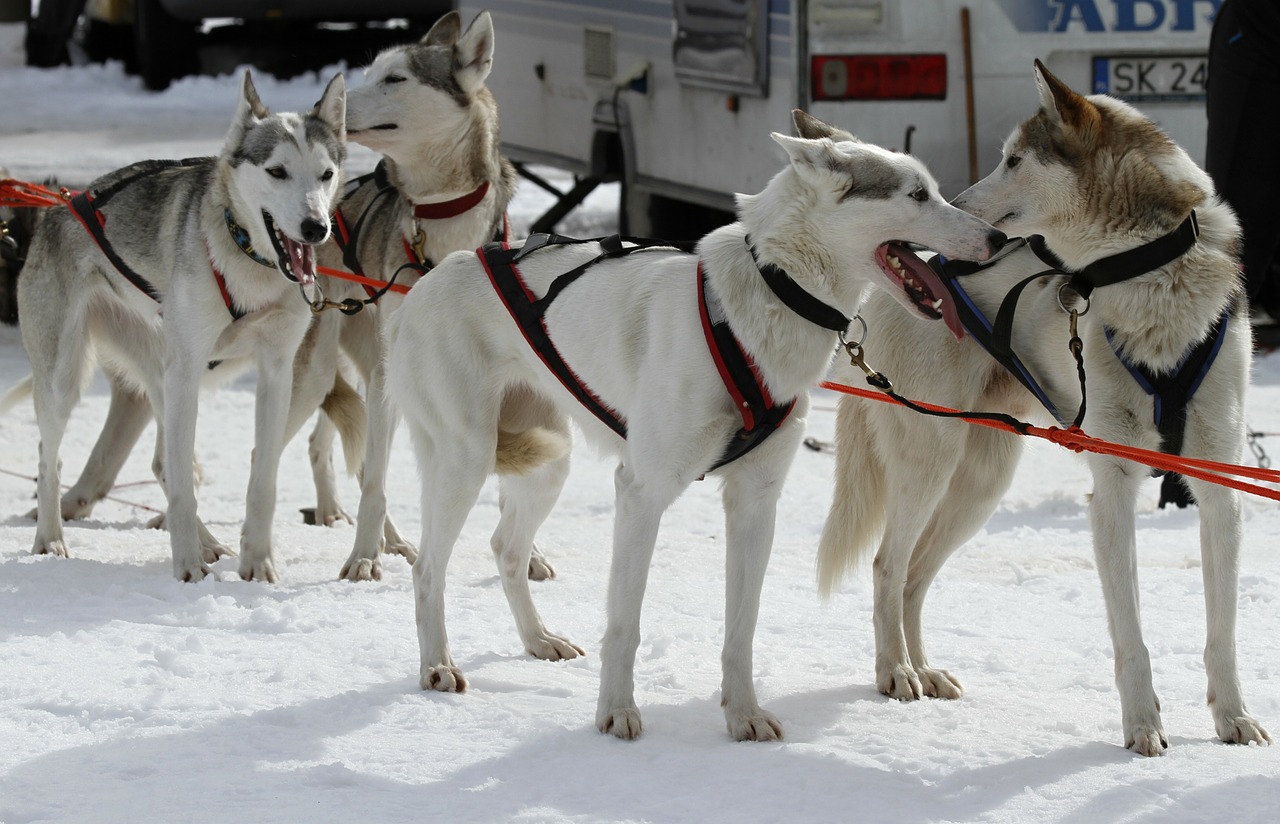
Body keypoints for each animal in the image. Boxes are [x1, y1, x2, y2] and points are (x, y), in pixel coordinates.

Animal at [21, 70, 350, 583]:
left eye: (326, 174)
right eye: (277, 172)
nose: (316, 227)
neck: (245, 256)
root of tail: (59, 204)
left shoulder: (277, 371)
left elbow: (263, 478)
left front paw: (257, 563)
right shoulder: (189, 368)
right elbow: (181, 489)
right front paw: (187, 568)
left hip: (162, 375)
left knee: (164, 463)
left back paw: (210, 542)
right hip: (69, 381)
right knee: (50, 458)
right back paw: (51, 539)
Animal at [384, 111, 1003, 742]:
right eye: (917, 194)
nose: (998, 240)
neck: (769, 290)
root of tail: (426, 283)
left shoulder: (755, 502)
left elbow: (741, 628)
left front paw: (743, 713)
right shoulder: (641, 493)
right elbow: (625, 623)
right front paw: (616, 711)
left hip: (547, 462)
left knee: (507, 550)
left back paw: (537, 639)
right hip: (466, 459)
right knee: (429, 569)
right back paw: (437, 664)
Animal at [819, 61, 1269, 757]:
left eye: (1013, 159)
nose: (958, 210)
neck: (1148, 276)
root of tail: (900, 281)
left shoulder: (1219, 481)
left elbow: (1222, 632)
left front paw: (1233, 717)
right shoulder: (1114, 480)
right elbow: (1131, 636)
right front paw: (1143, 725)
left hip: (980, 483)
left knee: (915, 577)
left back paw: (924, 669)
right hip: (931, 465)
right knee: (888, 566)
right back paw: (895, 671)